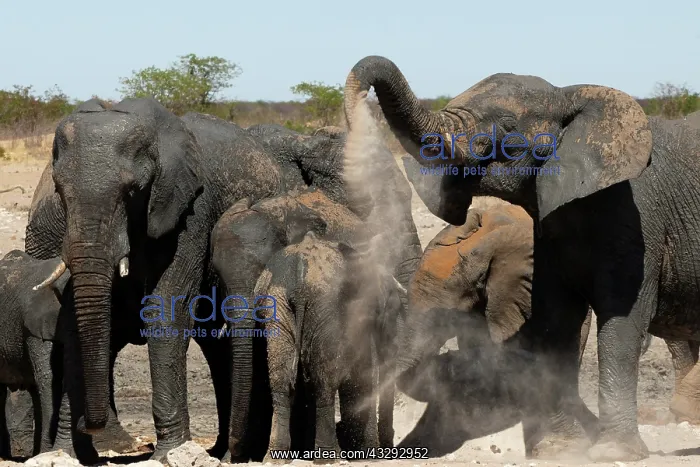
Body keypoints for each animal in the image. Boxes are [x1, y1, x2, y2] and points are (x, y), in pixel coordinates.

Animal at [23, 98, 285, 460]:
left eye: (132, 192)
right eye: (60, 191)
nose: (89, 425)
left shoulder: (190, 209)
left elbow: (166, 310)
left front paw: (168, 455)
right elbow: (72, 317)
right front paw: (66, 455)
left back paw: (235, 455)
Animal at [251, 231, 405, 463]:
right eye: (392, 312)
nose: (389, 449)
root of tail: (299, 281)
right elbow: (362, 376)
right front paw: (368, 455)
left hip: (276, 307)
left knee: (281, 381)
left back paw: (276, 458)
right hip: (325, 307)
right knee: (324, 381)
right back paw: (330, 457)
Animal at [342, 55, 700, 462]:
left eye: (508, 128)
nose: (359, 110)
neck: (568, 95)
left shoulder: (636, 215)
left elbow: (621, 317)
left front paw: (611, 452)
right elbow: (555, 321)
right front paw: (559, 450)